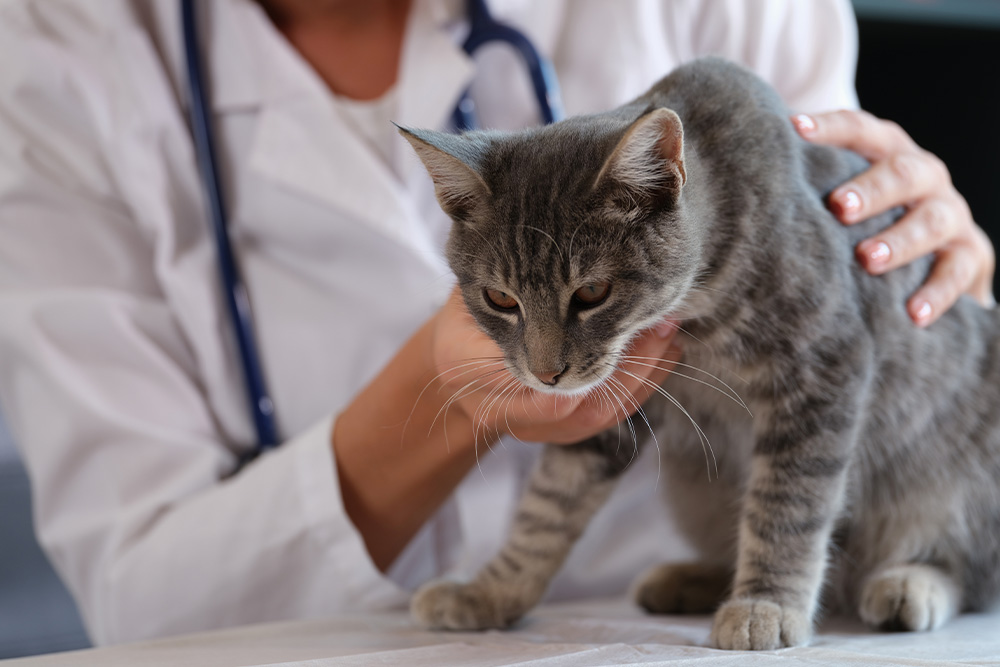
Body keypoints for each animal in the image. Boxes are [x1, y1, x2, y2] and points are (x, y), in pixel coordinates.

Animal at [398, 58, 1000, 652]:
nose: (547, 375)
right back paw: (691, 579)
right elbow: (547, 506)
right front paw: (491, 592)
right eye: (500, 299)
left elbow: (788, 503)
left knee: (969, 570)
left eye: (592, 293)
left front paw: (767, 604)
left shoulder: (824, 363)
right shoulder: (613, 407)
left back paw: (910, 583)